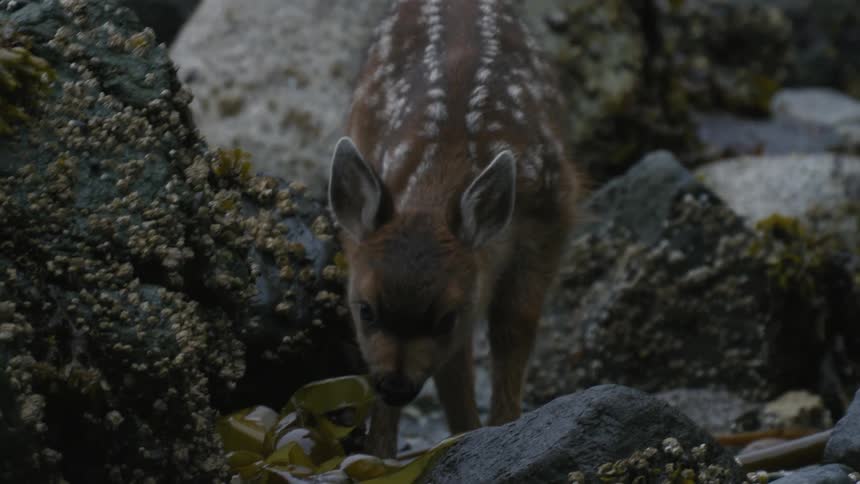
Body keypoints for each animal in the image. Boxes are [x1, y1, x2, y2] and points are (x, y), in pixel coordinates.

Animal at [327, 0, 585, 458]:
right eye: (365, 309)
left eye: (446, 317)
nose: (395, 386)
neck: (443, 167)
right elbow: (454, 368)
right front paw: (380, 454)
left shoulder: (552, 215)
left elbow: (512, 327)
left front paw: (502, 427)